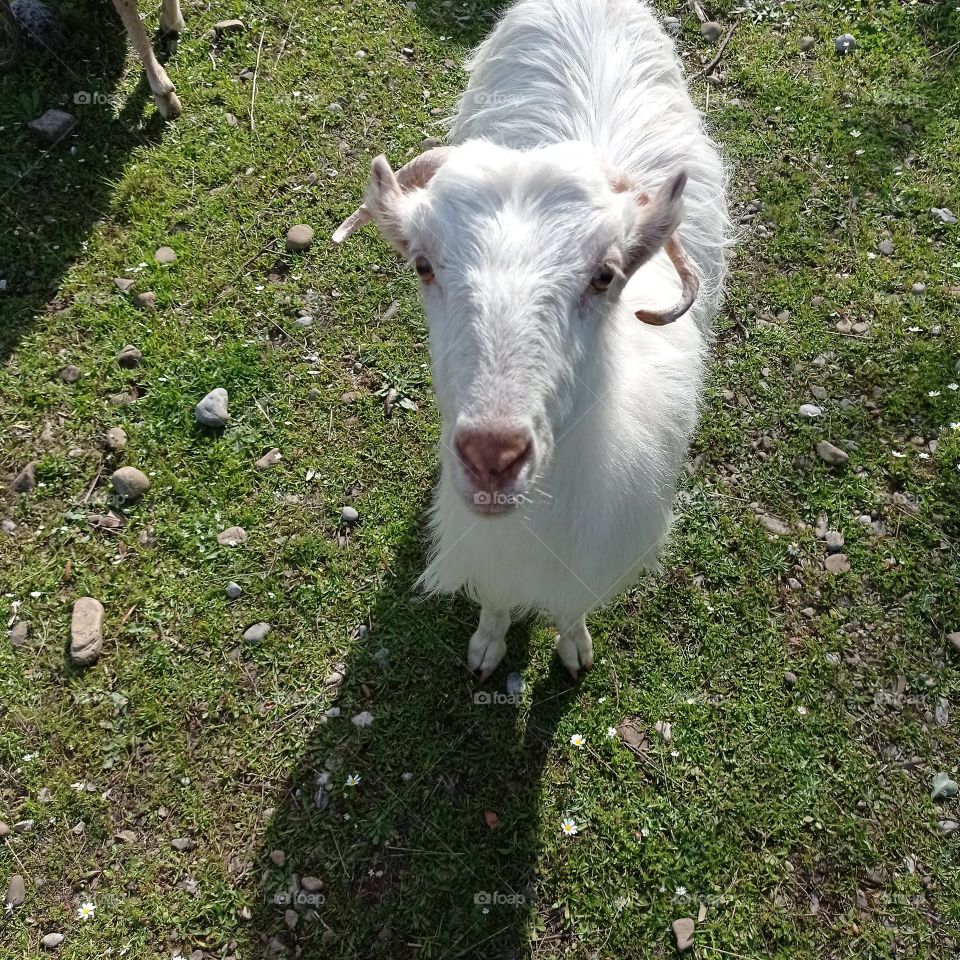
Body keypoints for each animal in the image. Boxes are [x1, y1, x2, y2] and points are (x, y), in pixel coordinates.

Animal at [334, 0, 729, 679]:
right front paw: (487, 645)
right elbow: (495, 601)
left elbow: (572, 610)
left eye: (605, 275)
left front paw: (574, 647)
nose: (492, 455)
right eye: (423, 265)